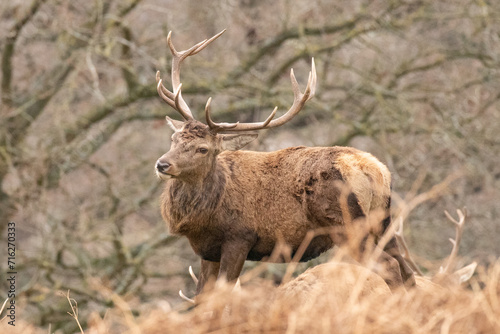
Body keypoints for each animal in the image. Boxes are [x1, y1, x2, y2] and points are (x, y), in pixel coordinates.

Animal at [155, 30, 414, 296]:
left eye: (203, 149)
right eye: (174, 138)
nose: (162, 165)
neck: (205, 215)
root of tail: (377, 171)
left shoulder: (239, 238)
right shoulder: (208, 251)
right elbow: (201, 298)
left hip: (348, 224)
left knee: (390, 266)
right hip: (383, 222)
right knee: (407, 270)